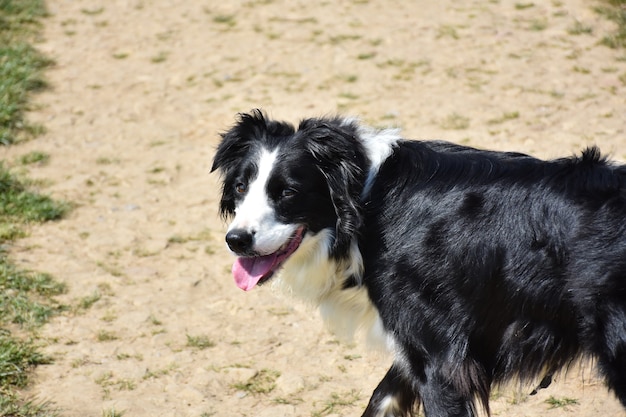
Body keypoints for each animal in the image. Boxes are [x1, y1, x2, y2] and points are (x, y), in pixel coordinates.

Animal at [211, 109, 624, 416]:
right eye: (240, 187)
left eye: (287, 193)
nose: (236, 241)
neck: (366, 202)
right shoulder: (421, 346)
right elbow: (382, 398)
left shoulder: (440, 358)